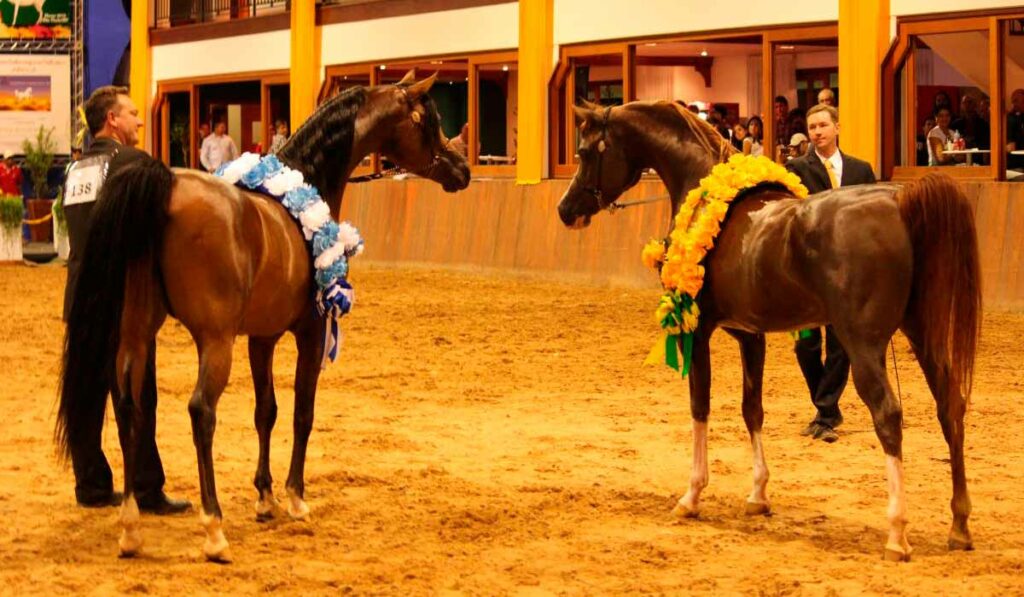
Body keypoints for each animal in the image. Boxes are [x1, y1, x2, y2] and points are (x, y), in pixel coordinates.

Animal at [56, 72, 471, 561]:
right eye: (428, 120)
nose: (461, 169)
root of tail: (165, 187)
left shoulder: (262, 337)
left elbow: (265, 411)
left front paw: (265, 497)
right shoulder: (310, 332)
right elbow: (302, 413)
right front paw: (294, 498)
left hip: (137, 332)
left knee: (128, 407)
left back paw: (131, 527)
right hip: (214, 340)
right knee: (201, 411)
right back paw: (213, 528)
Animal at [557, 100, 978, 561]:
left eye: (585, 151)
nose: (565, 210)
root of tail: (899, 200)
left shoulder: (698, 331)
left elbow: (700, 407)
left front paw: (692, 496)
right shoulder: (750, 335)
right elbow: (752, 409)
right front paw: (758, 495)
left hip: (864, 344)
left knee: (888, 414)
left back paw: (897, 533)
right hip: (923, 336)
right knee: (950, 406)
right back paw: (959, 526)